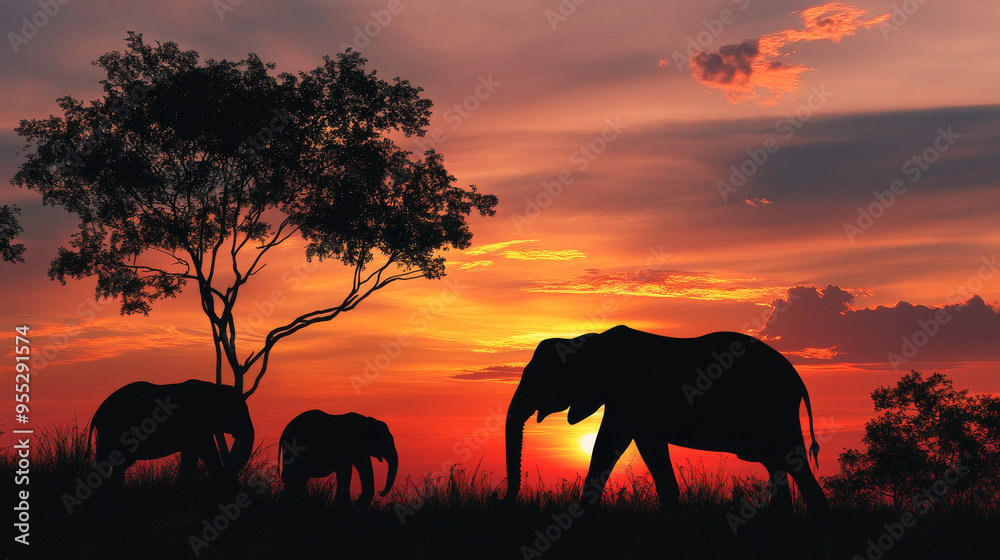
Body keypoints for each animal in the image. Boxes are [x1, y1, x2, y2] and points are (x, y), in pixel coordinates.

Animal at [88, 379, 255, 488]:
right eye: (238, 412)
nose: (230, 474)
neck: (214, 389)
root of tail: (99, 411)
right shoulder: (196, 423)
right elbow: (200, 451)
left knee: (118, 465)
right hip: (113, 430)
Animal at [495, 325, 830, 514]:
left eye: (539, 378)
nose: (499, 500)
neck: (586, 341)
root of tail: (797, 378)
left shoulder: (628, 395)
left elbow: (608, 444)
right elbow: (647, 447)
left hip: (775, 409)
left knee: (792, 462)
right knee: (777, 464)